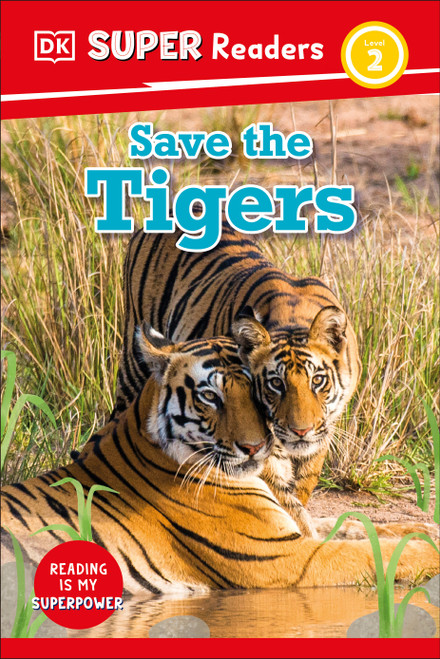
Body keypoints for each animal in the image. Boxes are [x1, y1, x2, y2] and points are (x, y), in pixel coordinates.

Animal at [2, 326, 438, 594]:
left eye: (259, 390)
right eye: (211, 397)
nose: (255, 447)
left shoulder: (298, 528)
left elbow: (356, 525)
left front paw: (423, 527)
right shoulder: (283, 558)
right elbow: (374, 551)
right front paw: (428, 548)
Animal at [113, 219, 361, 521]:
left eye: (318, 381)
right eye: (275, 384)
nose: (300, 431)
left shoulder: (321, 434)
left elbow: (301, 488)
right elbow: (285, 504)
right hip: (133, 363)